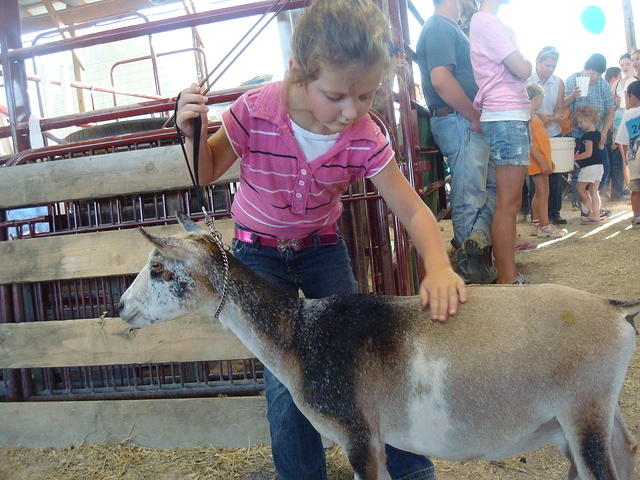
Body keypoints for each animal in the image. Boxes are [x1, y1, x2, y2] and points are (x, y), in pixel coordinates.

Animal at [118, 213, 638, 480]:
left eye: (159, 268)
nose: (122, 307)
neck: (301, 334)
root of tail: (614, 308)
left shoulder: (359, 436)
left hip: (582, 415)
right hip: (597, 416)